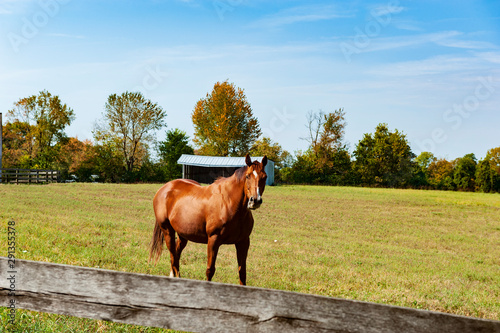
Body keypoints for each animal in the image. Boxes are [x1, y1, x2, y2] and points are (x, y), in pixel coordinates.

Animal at [149, 154, 268, 284]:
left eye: (264, 177)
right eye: (247, 176)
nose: (255, 200)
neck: (229, 203)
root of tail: (164, 188)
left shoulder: (243, 242)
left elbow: (242, 272)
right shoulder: (213, 240)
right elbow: (210, 270)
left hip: (183, 235)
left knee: (176, 255)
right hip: (167, 230)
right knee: (173, 255)